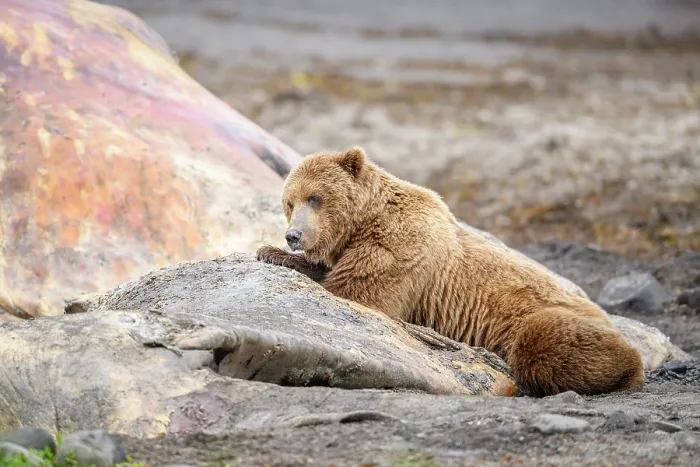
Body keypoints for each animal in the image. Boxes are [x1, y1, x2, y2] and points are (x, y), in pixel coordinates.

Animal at [256, 147, 645, 397]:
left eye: (316, 197)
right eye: (289, 202)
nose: (293, 235)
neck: (364, 222)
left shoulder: (400, 247)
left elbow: (359, 292)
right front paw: (271, 252)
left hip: (546, 318)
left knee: (543, 341)